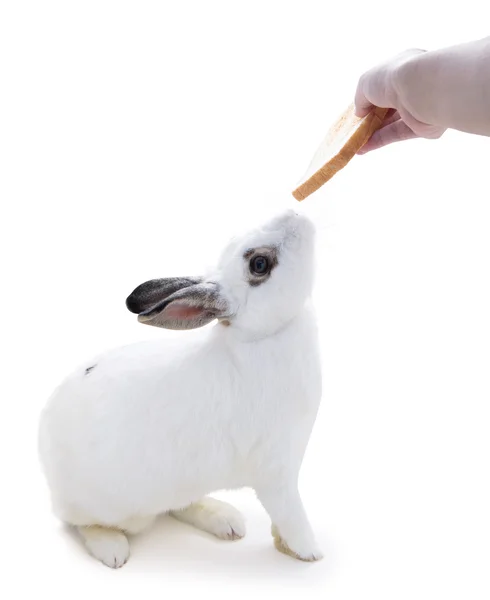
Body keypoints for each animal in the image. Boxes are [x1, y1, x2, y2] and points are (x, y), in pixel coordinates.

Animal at [37, 210, 322, 568]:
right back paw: (112, 548)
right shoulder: (277, 473)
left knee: (179, 506)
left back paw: (227, 520)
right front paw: (309, 551)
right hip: (105, 509)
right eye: (259, 264)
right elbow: (291, 515)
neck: (260, 338)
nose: (295, 214)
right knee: (81, 523)